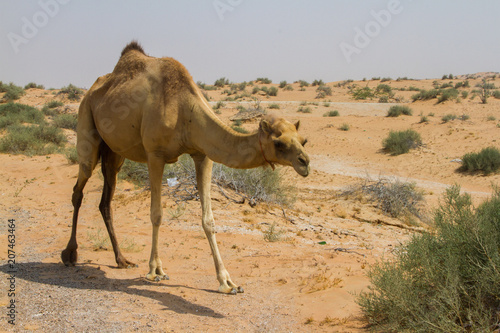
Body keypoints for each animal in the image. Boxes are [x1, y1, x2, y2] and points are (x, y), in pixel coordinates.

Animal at [60, 41, 310, 294]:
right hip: (87, 122)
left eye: (303, 140)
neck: (183, 108)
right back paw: (70, 254)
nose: (305, 163)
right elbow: (156, 214)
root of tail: (90, 91)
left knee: (105, 200)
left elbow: (209, 220)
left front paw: (227, 282)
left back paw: (122, 259)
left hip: (114, 153)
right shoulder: (155, 154)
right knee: (79, 187)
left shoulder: (203, 154)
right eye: (279, 143)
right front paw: (156, 270)